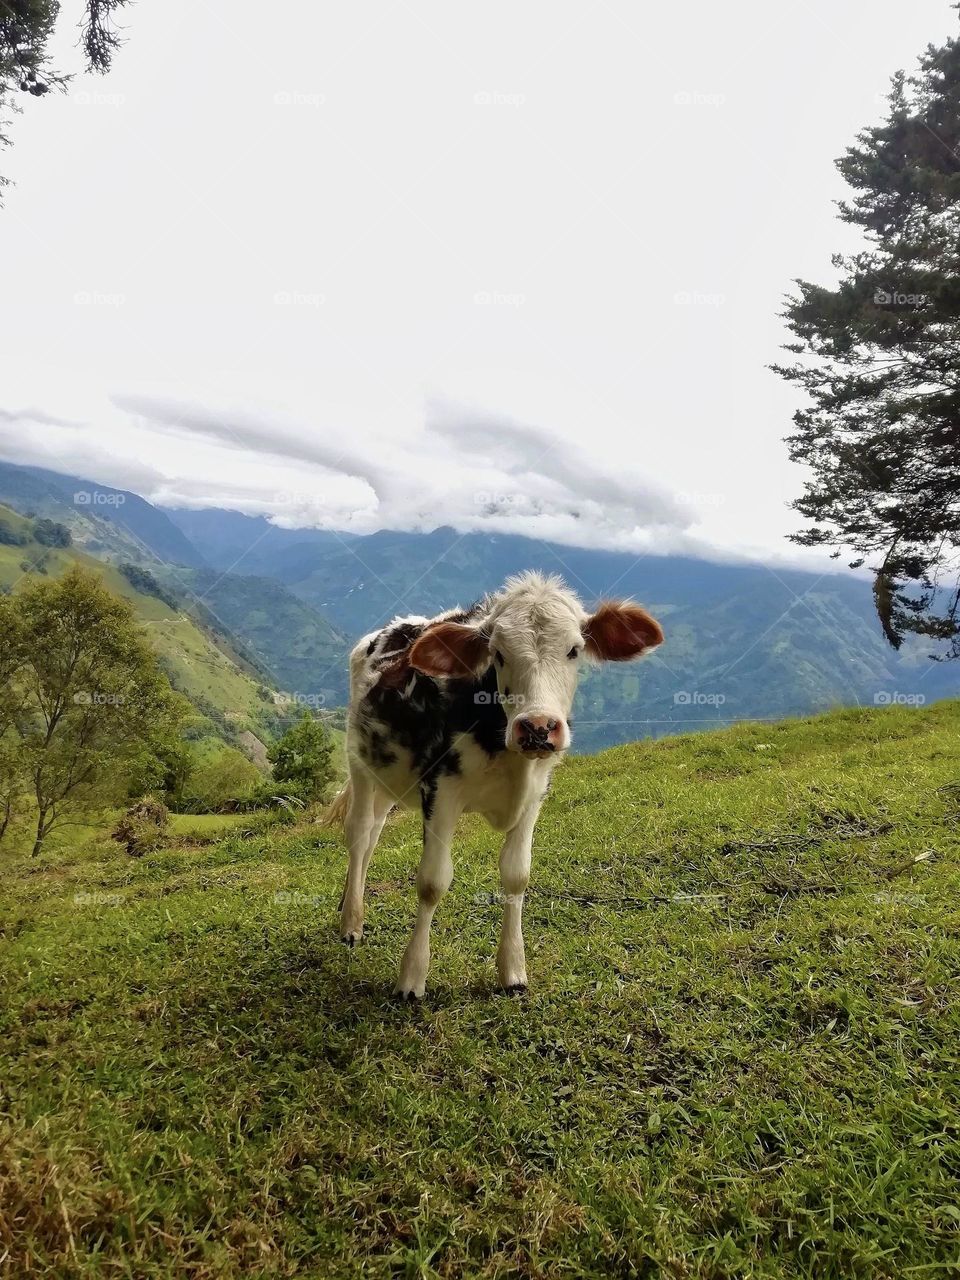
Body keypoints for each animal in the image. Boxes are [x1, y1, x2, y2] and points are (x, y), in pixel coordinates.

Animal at [326, 571, 663, 999]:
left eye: (574, 650)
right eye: (498, 654)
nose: (538, 727)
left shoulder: (536, 794)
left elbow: (517, 875)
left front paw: (513, 970)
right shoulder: (439, 790)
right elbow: (432, 882)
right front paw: (412, 976)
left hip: (390, 776)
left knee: (373, 836)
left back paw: (349, 903)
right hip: (359, 761)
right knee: (358, 833)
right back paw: (351, 922)